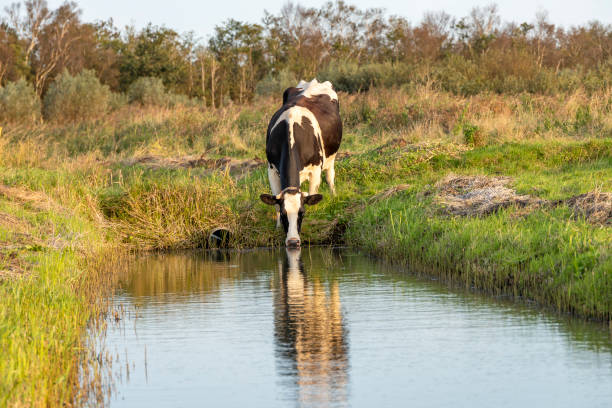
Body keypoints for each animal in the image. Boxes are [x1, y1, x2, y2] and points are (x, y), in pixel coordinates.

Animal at [260, 78, 342, 247]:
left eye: (302, 213)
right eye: (284, 213)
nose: (293, 241)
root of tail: (314, 81)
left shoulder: (316, 169)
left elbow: (312, 194)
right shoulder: (271, 170)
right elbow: (275, 201)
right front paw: (278, 226)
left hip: (331, 158)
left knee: (330, 176)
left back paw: (334, 194)